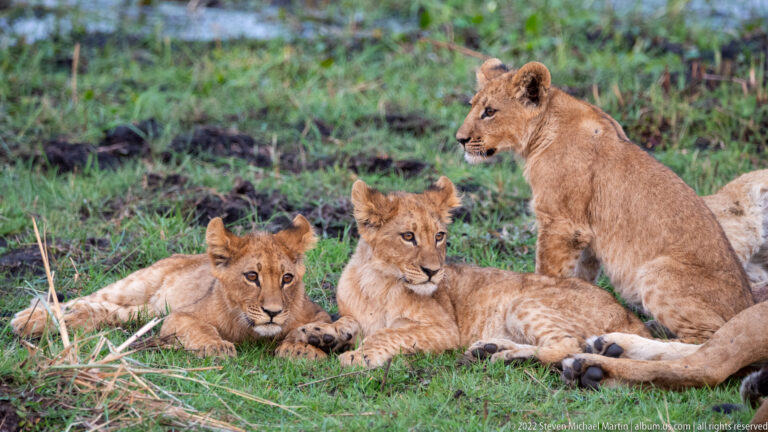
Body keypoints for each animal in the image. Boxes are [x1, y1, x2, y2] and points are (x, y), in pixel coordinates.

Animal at [11, 215, 331, 359]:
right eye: (252, 276)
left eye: (287, 278)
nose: (273, 312)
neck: (252, 332)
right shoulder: (179, 317)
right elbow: (201, 328)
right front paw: (216, 346)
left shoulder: (318, 315)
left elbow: (311, 328)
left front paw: (303, 349)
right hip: (138, 285)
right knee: (87, 299)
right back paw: (28, 320)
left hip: (145, 313)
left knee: (103, 311)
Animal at [288, 176, 650, 368]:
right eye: (408, 236)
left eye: (439, 236)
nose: (433, 272)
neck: (379, 283)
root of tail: (631, 317)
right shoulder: (357, 312)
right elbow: (347, 322)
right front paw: (320, 332)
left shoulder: (444, 330)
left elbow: (387, 333)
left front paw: (358, 357)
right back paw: (490, 349)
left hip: (525, 303)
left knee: (567, 345)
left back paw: (504, 356)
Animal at [455, 58, 755, 342]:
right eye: (472, 106)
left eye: (490, 111)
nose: (460, 139)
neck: (541, 133)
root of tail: (747, 307)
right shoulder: (585, 234)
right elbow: (581, 276)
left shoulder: (561, 224)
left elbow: (547, 275)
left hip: (657, 272)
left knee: (704, 340)